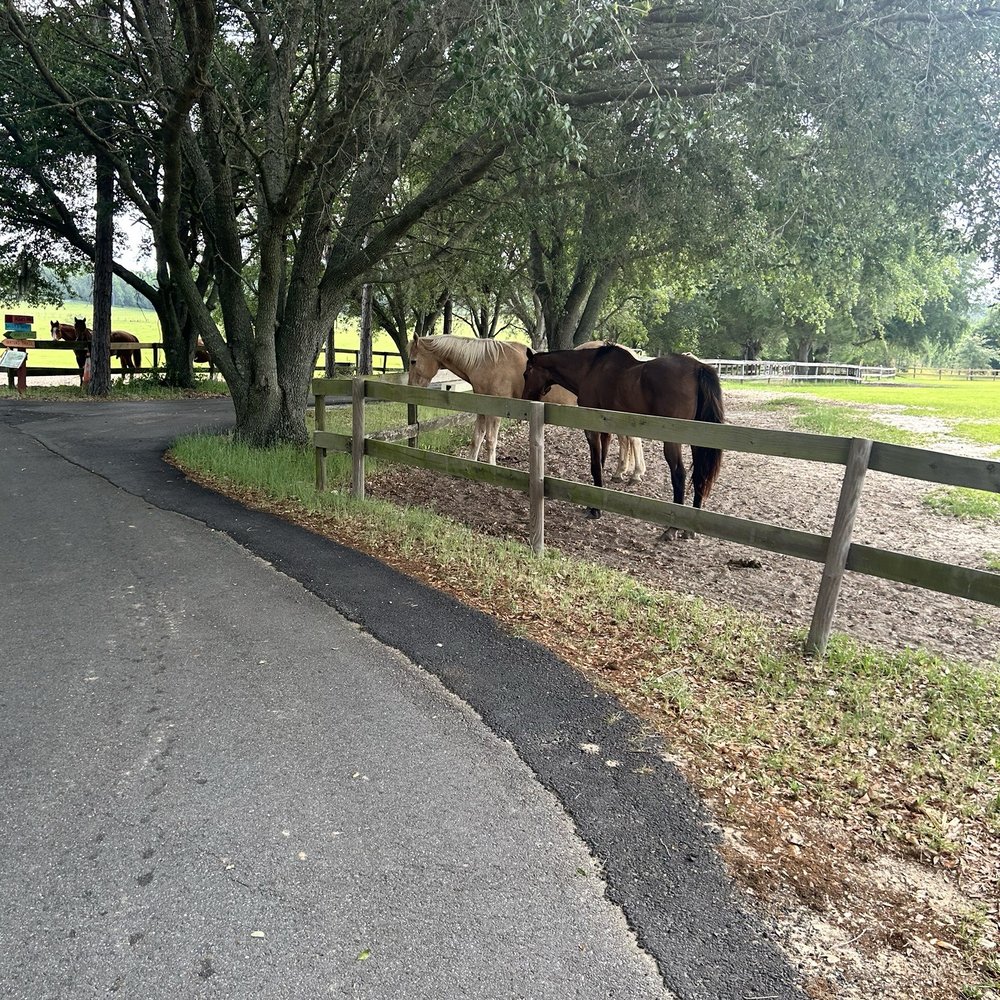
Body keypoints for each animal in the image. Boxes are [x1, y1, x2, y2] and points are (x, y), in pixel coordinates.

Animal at [406, 335, 642, 472]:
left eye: (413, 360)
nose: (410, 388)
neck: (487, 361)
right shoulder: (481, 407)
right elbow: (477, 438)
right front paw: (470, 463)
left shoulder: (495, 411)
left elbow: (490, 440)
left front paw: (492, 467)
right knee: (627, 440)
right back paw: (625, 471)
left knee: (632, 439)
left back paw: (632, 473)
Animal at [522, 344, 724, 534]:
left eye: (526, 373)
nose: (524, 398)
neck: (590, 369)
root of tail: (698, 368)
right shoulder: (606, 429)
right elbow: (601, 462)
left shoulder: (592, 428)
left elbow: (595, 465)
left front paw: (595, 509)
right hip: (698, 439)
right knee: (700, 473)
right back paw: (691, 526)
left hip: (673, 441)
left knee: (679, 474)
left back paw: (673, 528)